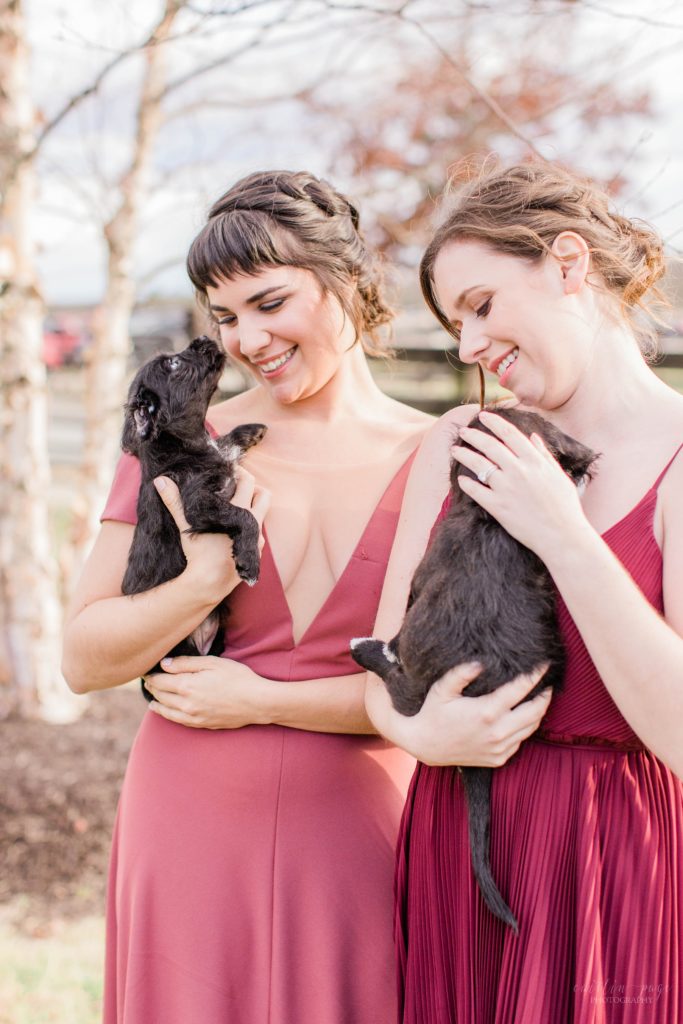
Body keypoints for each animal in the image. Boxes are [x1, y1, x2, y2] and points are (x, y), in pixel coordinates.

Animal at [118, 335, 266, 704]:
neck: (187, 445)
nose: (203, 338)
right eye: (173, 364)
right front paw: (249, 561)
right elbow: (245, 516)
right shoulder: (198, 503)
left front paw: (250, 431)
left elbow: (226, 443)